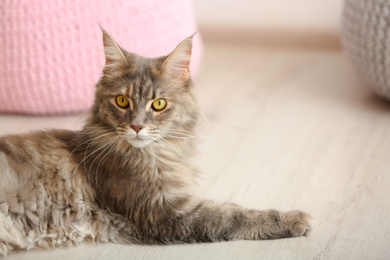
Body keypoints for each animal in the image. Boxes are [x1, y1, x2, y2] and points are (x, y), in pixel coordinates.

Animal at [0, 29, 310, 255]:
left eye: (159, 104)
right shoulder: (164, 212)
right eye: (122, 101)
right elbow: (233, 215)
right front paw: (295, 219)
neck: (158, 154)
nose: (137, 126)